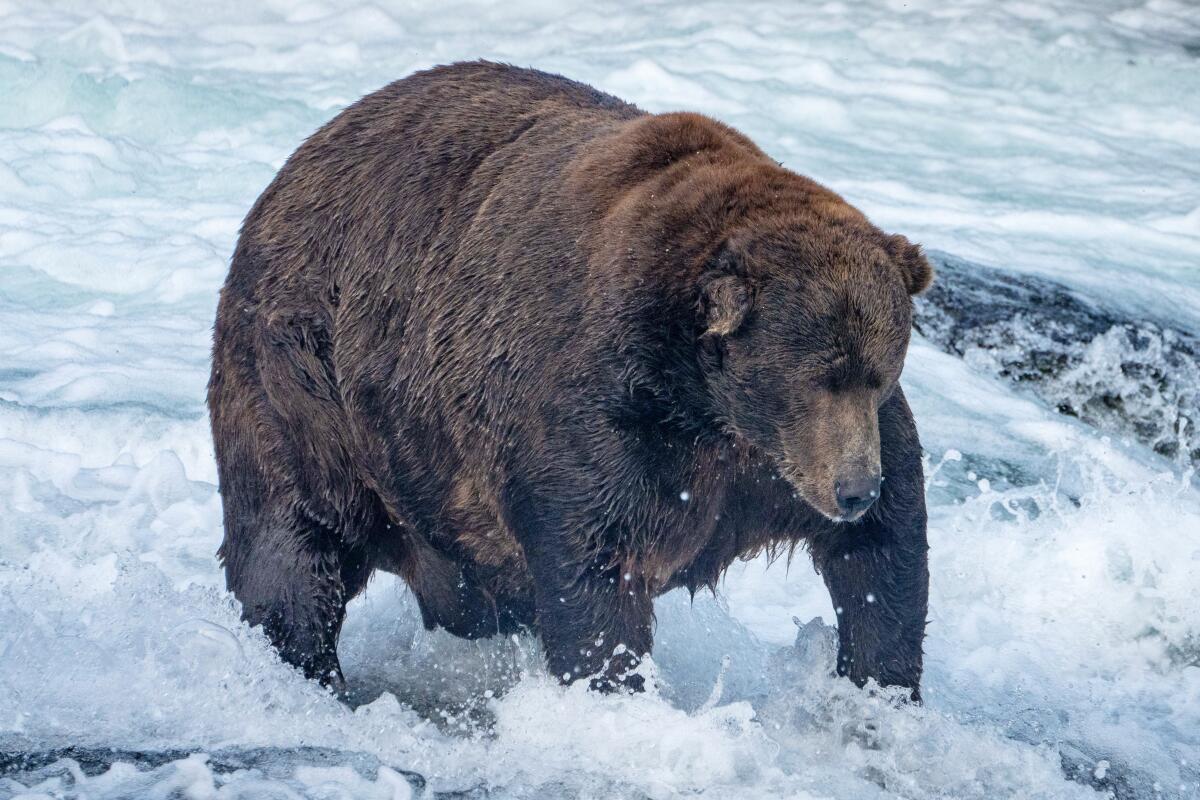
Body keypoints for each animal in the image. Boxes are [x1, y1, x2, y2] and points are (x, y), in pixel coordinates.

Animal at [211, 62, 931, 695]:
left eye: (877, 372)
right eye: (816, 377)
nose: (853, 489)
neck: (706, 402)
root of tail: (299, 159)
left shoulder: (774, 464)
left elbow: (884, 554)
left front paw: (878, 688)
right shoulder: (606, 418)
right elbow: (596, 568)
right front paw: (614, 689)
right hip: (308, 383)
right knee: (295, 542)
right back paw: (310, 671)